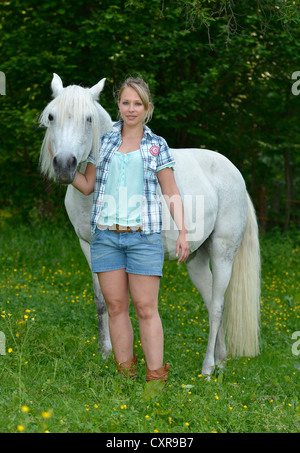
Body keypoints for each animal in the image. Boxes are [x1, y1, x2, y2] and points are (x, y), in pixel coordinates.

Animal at [39, 74, 260, 376]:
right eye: (51, 116)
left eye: (88, 118)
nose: (64, 166)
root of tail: (235, 173)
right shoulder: (89, 247)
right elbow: (102, 301)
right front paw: (106, 353)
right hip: (196, 259)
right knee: (215, 302)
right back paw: (221, 360)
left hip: (223, 252)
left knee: (216, 306)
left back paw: (208, 367)